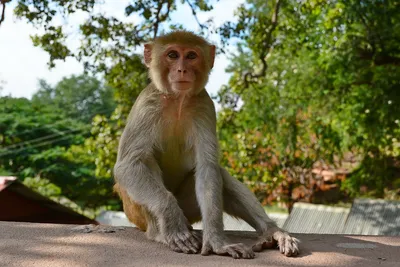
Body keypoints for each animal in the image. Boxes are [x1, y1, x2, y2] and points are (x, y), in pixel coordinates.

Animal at [113, 30, 300, 260]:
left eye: (191, 56)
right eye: (172, 55)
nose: (182, 69)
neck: (178, 101)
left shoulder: (204, 106)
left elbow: (207, 167)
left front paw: (217, 241)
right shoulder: (148, 104)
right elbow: (128, 165)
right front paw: (171, 219)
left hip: (189, 209)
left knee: (221, 175)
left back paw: (273, 232)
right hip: (135, 212)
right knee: (145, 162)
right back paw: (162, 232)